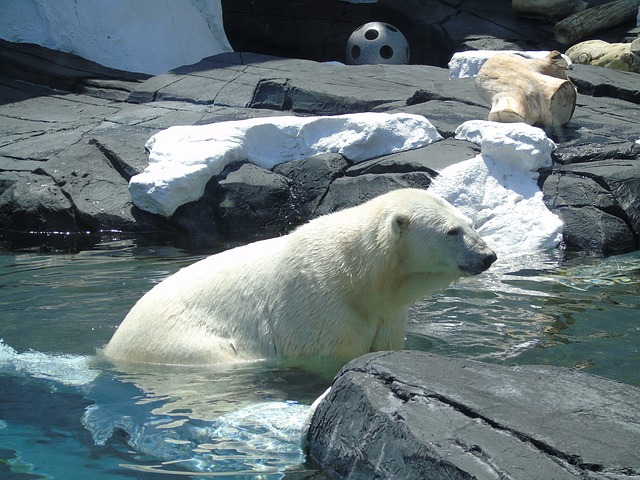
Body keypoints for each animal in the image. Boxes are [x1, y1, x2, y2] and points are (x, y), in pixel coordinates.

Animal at [104, 188, 496, 364]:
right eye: (451, 231)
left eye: (471, 223)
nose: (488, 256)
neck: (360, 276)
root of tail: (110, 346)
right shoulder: (318, 306)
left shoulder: (387, 310)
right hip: (182, 342)